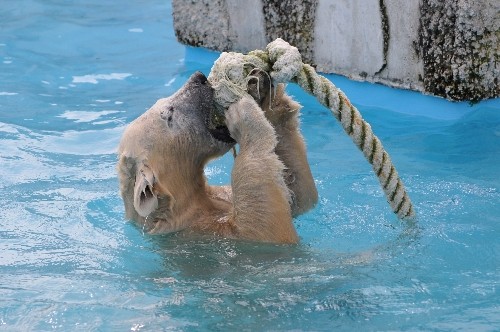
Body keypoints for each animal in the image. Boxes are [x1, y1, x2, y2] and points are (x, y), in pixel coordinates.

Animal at [117, 72, 316, 244]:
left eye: (163, 103)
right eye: (169, 114)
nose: (199, 78)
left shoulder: (221, 196)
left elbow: (296, 197)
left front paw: (270, 97)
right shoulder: (203, 232)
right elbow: (265, 227)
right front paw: (243, 114)